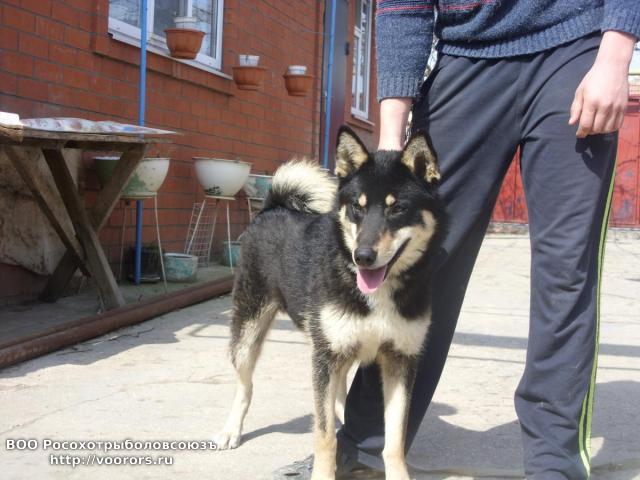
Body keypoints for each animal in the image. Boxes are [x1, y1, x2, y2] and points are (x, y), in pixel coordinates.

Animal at [214, 126, 446, 480]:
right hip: (250, 330)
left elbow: (394, 439)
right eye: (357, 208)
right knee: (245, 385)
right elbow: (324, 437)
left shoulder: (400, 360)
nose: (362, 257)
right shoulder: (327, 357)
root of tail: (274, 207)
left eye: (397, 209)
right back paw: (231, 429)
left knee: (338, 393)